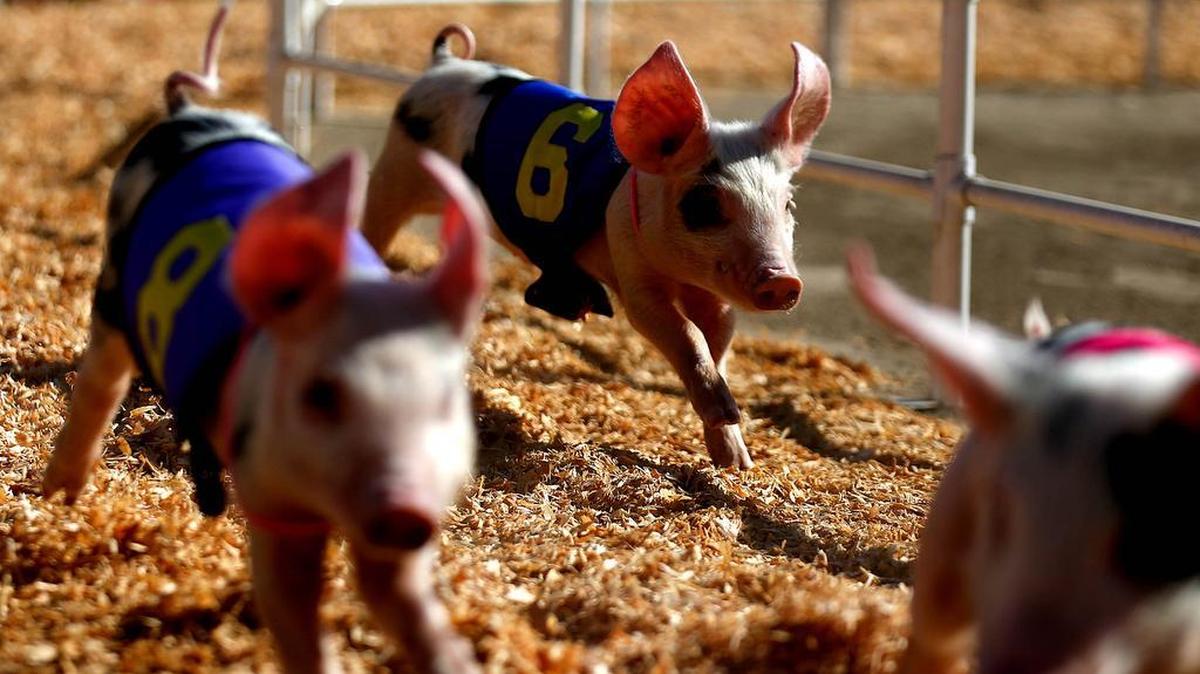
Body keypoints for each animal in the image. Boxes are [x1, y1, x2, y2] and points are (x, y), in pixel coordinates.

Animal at [41, 5, 486, 673]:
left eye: (444, 401)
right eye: (321, 394)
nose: (405, 508)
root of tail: (186, 114)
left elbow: (404, 599)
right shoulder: (266, 488)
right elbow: (290, 598)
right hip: (113, 286)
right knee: (100, 381)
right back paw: (56, 499)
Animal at [363, 25, 832, 469]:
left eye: (788, 204)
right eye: (704, 204)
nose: (783, 281)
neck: (682, 275)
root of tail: (441, 63)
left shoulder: (715, 297)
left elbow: (716, 342)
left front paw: (735, 460)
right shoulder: (632, 269)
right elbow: (681, 332)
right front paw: (725, 415)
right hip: (393, 173)